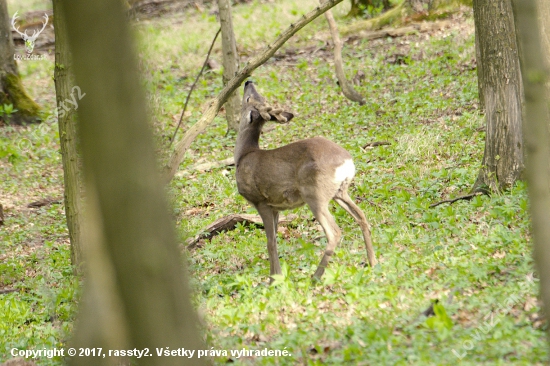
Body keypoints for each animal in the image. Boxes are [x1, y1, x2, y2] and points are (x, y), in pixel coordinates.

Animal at [235, 81, 378, 280]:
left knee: (334, 231)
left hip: (315, 194)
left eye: (248, 99)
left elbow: (270, 242)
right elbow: (274, 240)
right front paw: (277, 276)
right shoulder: (275, 206)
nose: (248, 82)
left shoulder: (260, 200)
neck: (243, 155)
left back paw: (316, 276)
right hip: (339, 192)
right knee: (362, 216)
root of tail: (347, 162)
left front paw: (273, 279)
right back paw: (373, 262)